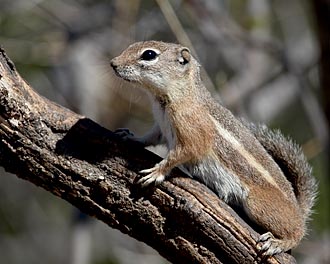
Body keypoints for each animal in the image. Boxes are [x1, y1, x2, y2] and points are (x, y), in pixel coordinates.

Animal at [111, 40, 318, 256]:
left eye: (149, 55)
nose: (113, 63)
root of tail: (298, 211)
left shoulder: (192, 133)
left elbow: (182, 153)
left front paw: (157, 171)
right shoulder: (161, 128)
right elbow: (150, 138)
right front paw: (131, 137)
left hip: (257, 204)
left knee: (297, 233)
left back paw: (280, 242)